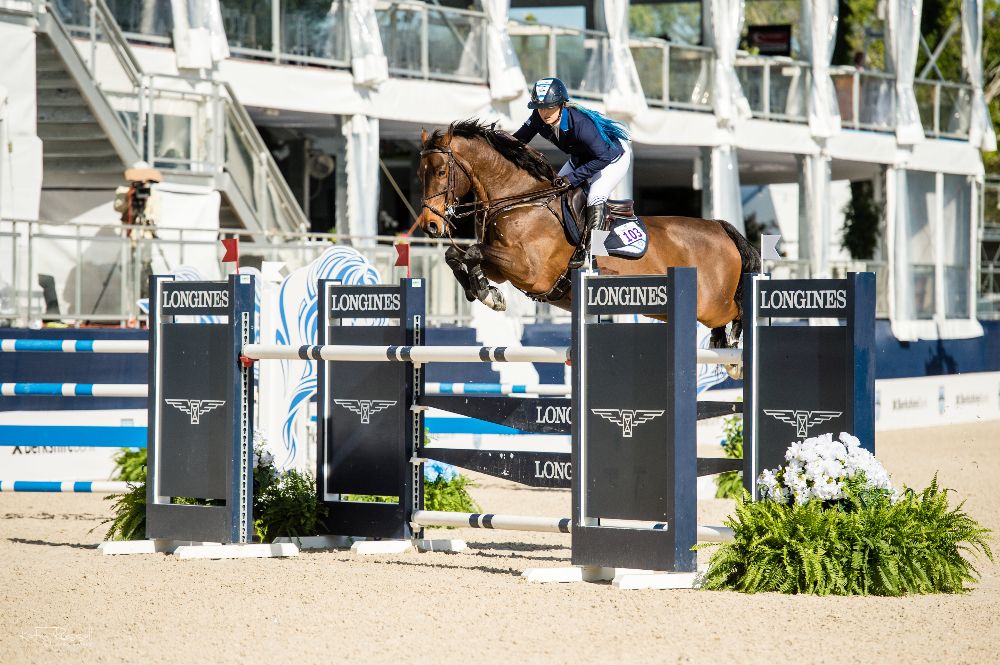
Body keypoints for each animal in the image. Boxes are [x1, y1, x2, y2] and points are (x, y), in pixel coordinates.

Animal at [414, 120, 756, 348]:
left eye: (441, 172)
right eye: (420, 173)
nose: (431, 225)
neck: (520, 199)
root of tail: (720, 228)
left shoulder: (530, 271)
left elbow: (472, 251)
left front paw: (487, 294)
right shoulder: (504, 266)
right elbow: (457, 255)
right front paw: (485, 292)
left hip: (713, 304)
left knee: (736, 311)